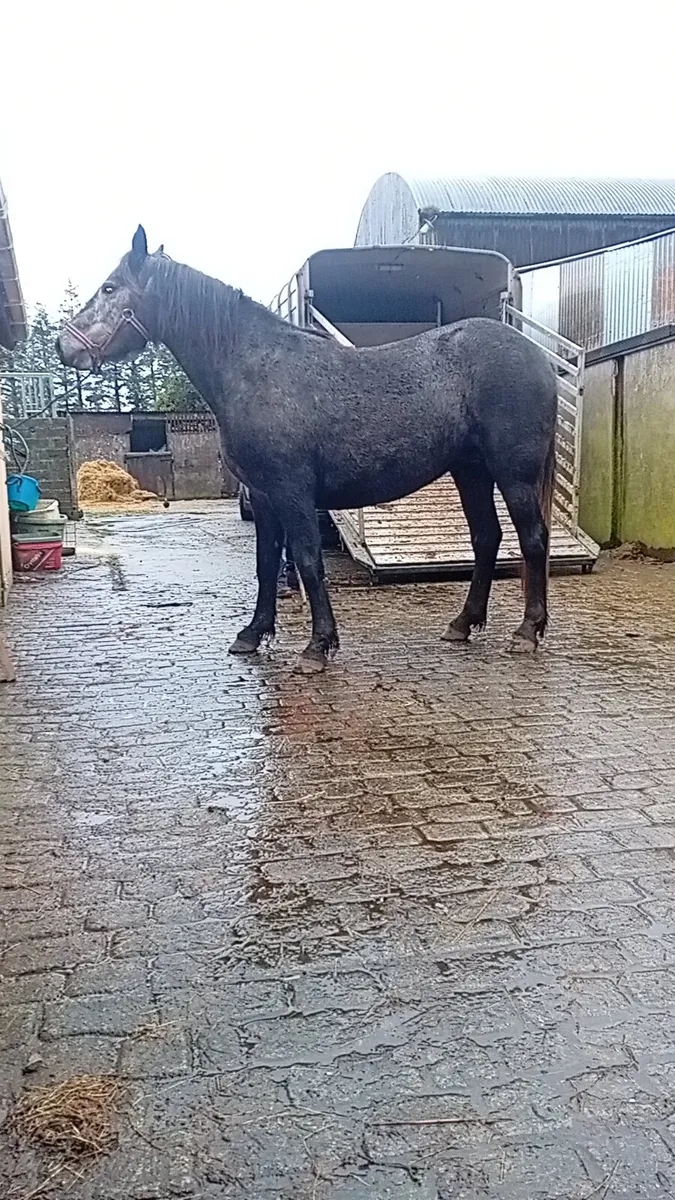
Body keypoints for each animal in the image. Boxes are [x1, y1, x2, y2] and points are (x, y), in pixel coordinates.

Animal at [57, 226, 558, 674]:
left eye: (109, 287)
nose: (65, 347)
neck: (255, 369)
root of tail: (537, 357)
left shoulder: (291, 492)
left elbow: (308, 562)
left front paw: (318, 647)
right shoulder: (263, 496)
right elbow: (266, 564)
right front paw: (252, 635)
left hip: (513, 472)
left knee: (532, 539)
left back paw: (527, 632)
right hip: (470, 470)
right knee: (486, 538)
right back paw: (463, 623)